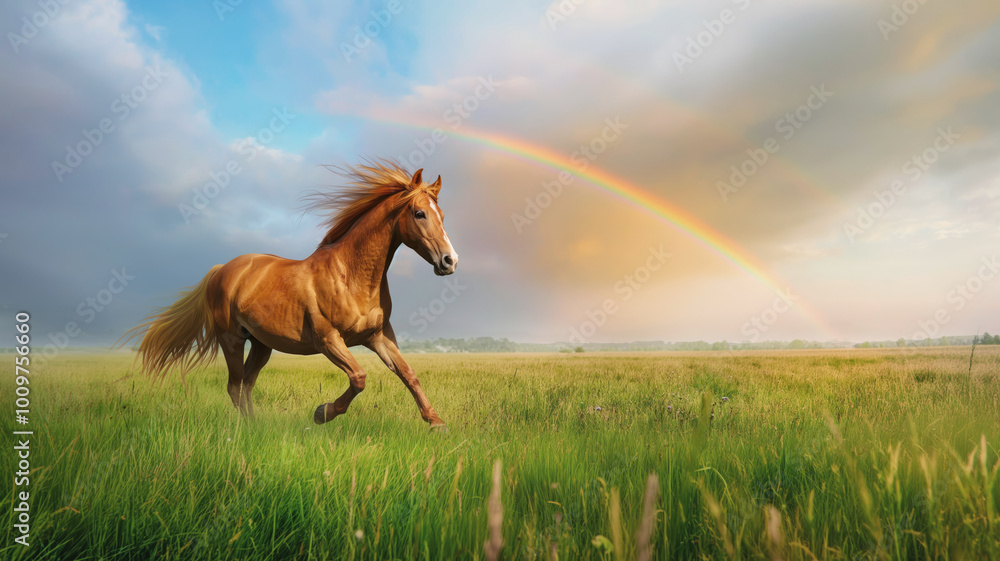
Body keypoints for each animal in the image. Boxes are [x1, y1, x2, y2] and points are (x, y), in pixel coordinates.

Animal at [122, 160, 458, 430]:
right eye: (419, 214)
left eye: (443, 215)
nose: (450, 261)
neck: (350, 277)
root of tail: (221, 270)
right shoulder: (328, 340)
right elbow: (359, 377)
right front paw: (322, 413)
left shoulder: (378, 337)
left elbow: (408, 373)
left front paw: (436, 423)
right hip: (231, 339)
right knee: (234, 386)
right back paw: (251, 429)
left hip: (262, 345)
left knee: (246, 384)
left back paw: (257, 425)